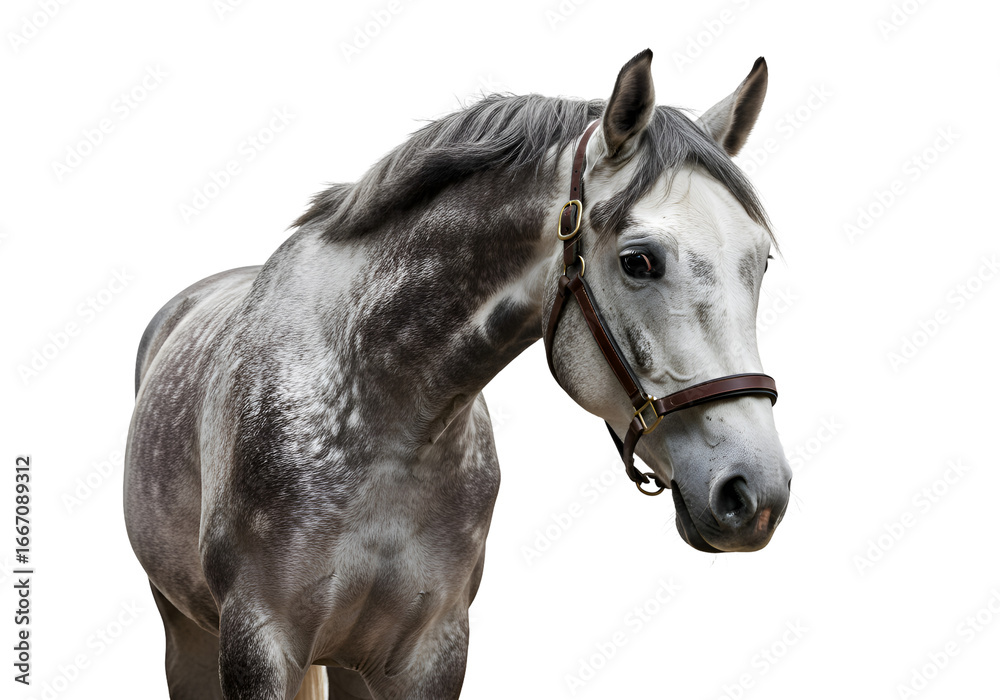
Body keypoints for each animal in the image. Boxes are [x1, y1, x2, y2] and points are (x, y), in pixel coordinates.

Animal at [124, 49, 791, 700]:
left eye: (760, 261)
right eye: (639, 261)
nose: (756, 493)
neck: (388, 429)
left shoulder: (433, 651)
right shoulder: (258, 641)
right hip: (184, 629)